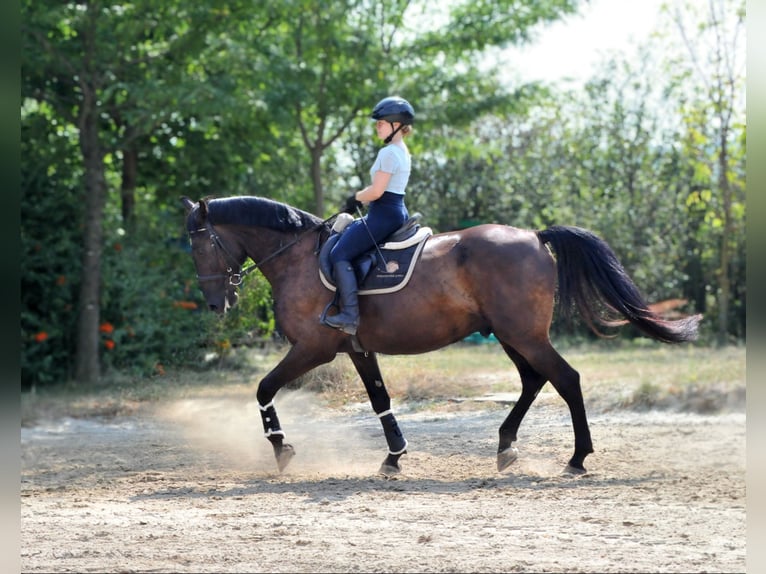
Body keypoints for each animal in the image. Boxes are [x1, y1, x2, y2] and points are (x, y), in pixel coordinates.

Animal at [180, 198, 704, 476]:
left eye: (200, 244)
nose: (217, 303)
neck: (300, 259)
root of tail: (535, 235)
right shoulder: (357, 348)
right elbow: (380, 399)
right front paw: (394, 457)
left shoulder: (313, 348)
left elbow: (263, 388)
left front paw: (281, 449)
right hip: (510, 334)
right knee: (534, 381)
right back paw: (506, 446)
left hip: (522, 334)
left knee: (566, 379)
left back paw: (576, 458)